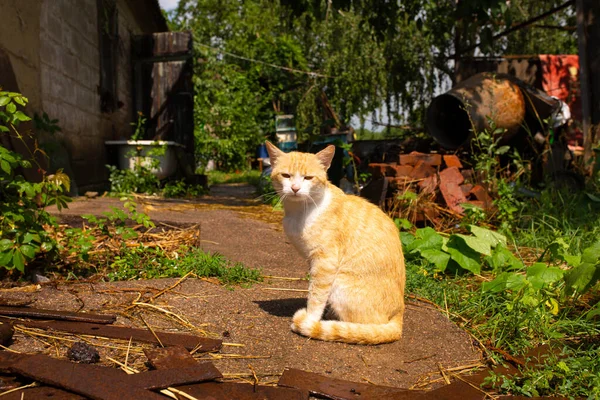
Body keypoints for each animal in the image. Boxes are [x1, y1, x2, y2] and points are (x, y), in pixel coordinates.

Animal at [264, 141, 406, 344]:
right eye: (286, 175)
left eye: (308, 177)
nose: (295, 188)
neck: (298, 212)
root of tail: (400, 314)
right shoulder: (312, 261)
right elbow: (313, 289)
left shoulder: (325, 261)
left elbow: (316, 295)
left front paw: (311, 320)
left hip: (340, 284)